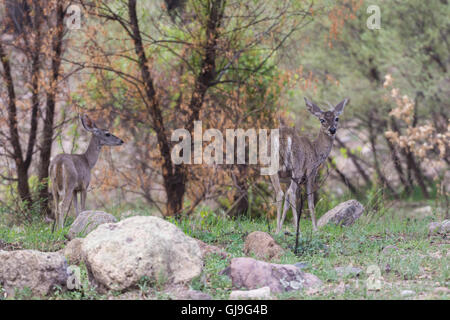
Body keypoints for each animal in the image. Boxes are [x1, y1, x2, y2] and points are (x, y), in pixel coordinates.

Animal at [268, 96, 350, 234]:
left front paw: (279, 227)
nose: (332, 130)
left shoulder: (286, 179)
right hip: (297, 168)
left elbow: (286, 204)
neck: (316, 151)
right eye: (322, 120)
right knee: (291, 193)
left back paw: (278, 230)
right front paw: (316, 228)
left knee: (280, 193)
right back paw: (298, 229)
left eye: (336, 118)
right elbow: (311, 202)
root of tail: (284, 136)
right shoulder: (311, 171)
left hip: (272, 168)